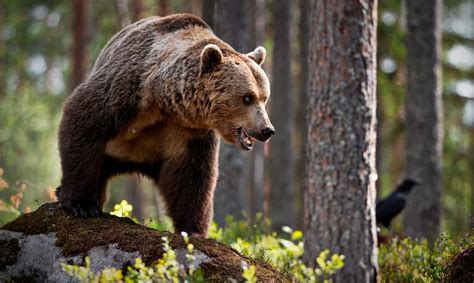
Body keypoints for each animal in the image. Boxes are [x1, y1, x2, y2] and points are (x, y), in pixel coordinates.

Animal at [56, 13, 274, 236]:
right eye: (247, 98)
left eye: (264, 98)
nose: (267, 130)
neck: (165, 101)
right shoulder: (128, 91)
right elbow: (85, 119)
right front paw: (82, 204)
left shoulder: (189, 132)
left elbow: (192, 174)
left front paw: (192, 229)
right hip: (112, 152)